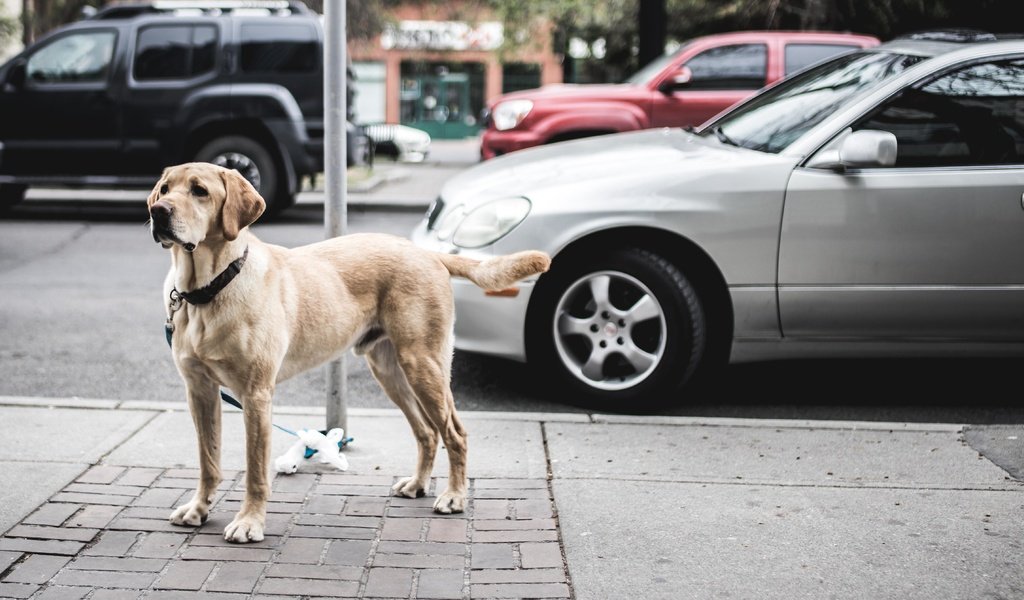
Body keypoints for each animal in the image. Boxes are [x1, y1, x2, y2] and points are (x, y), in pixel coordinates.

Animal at [147, 162, 548, 540]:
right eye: (164, 189)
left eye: (199, 191)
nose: (157, 211)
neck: (208, 290)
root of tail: (426, 252)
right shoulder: (200, 391)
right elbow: (208, 460)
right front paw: (199, 508)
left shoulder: (256, 394)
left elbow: (255, 471)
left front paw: (249, 523)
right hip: (390, 370)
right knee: (427, 433)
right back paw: (418, 484)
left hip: (423, 364)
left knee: (455, 433)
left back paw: (454, 496)